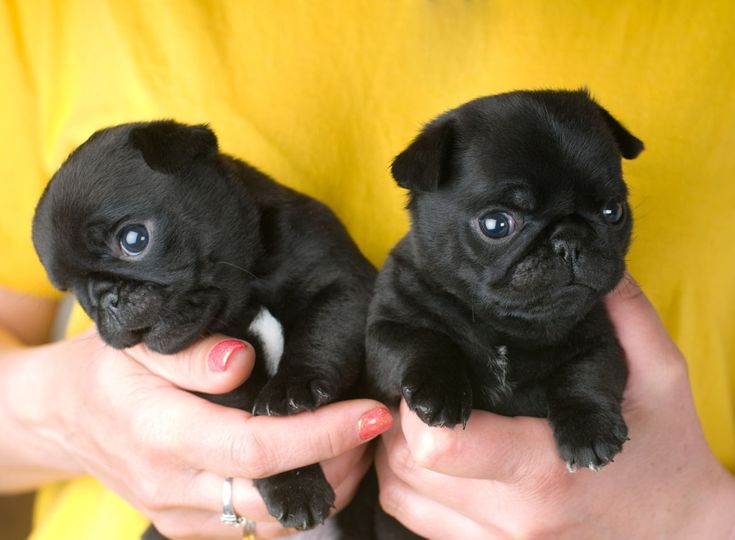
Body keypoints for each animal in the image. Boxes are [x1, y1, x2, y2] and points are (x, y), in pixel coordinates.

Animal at [31, 121, 376, 536]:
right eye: (74, 291)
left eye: (135, 239)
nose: (103, 297)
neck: (249, 289)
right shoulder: (222, 385)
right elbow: (263, 433)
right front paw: (296, 485)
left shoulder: (341, 283)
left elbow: (322, 334)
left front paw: (293, 386)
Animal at [368, 89, 644, 476]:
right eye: (497, 224)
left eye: (614, 211)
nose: (570, 239)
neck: (504, 327)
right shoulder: (389, 327)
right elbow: (420, 340)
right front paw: (441, 389)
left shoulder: (599, 340)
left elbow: (586, 374)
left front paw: (591, 429)